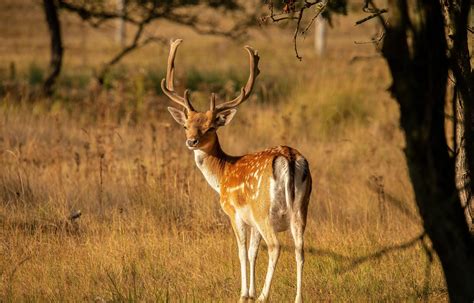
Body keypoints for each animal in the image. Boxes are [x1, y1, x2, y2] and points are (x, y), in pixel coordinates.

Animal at [161, 39, 312, 302]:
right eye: (186, 125)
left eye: (210, 127)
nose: (191, 141)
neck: (222, 174)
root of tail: (289, 158)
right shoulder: (251, 222)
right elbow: (252, 252)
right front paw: (249, 291)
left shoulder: (234, 212)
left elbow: (241, 251)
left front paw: (244, 293)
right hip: (301, 208)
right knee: (299, 248)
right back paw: (297, 298)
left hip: (263, 209)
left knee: (275, 246)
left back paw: (263, 296)